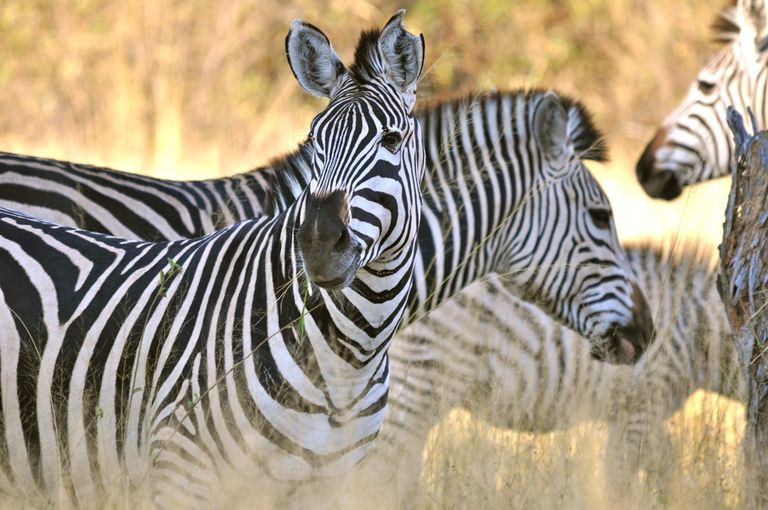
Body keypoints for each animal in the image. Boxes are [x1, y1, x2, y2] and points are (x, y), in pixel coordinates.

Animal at [0, 11, 428, 507]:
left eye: (392, 140)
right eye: (314, 140)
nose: (319, 244)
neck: (349, 363)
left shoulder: (332, 486)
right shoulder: (182, 471)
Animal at [327, 241, 740, 507]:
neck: (695, 327)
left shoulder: (641, 417)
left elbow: (666, 468)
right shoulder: (640, 409)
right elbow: (620, 480)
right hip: (423, 382)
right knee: (380, 463)